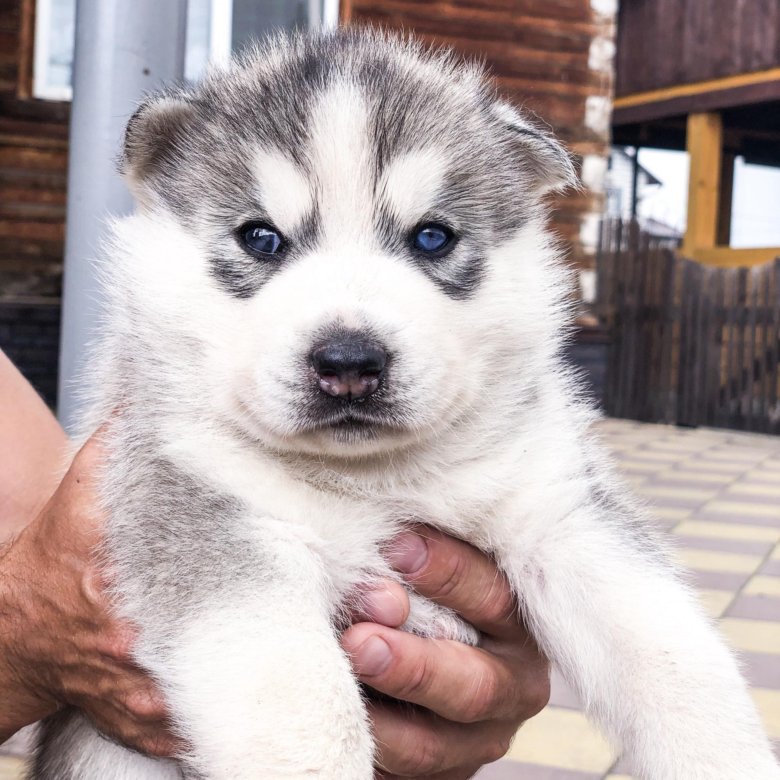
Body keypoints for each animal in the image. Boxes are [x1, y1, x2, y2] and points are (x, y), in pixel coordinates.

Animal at [36, 27, 780, 776]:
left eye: (432, 236)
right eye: (261, 237)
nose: (348, 363)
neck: (376, 479)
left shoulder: (558, 506)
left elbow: (674, 659)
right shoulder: (206, 518)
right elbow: (310, 715)